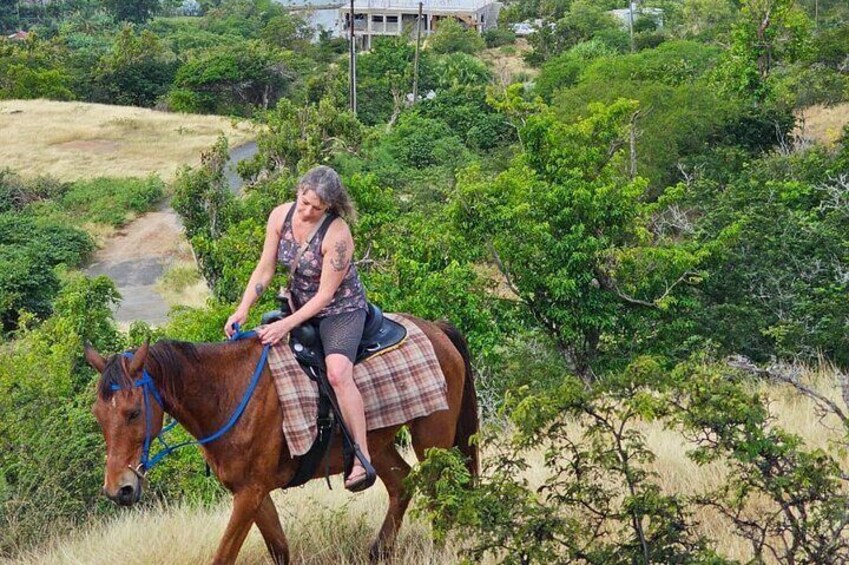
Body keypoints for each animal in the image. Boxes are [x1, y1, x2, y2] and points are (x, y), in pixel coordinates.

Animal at [84, 318, 476, 564]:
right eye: (98, 414)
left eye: (133, 412)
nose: (118, 489)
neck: (228, 394)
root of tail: (435, 330)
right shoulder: (253, 494)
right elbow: (280, 549)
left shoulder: (249, 494)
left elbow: (224, 555)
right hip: (376, 446)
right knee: (402, 484)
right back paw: (379, 552)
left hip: (432, 439)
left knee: (442, 495)